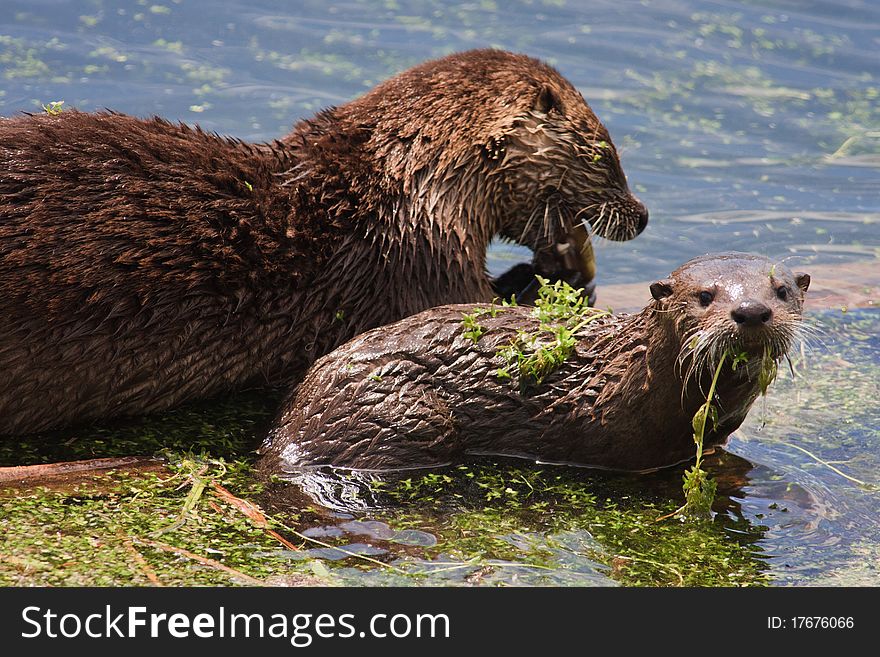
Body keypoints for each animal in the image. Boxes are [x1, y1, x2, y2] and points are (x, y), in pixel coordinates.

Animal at [0, 48, 648, 434]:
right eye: (608, 154)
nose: (641, 215)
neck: (408, 192)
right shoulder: (426, 273)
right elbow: (489, 312)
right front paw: (568, 265)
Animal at [258, 251, 808, 472]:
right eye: (704, 295)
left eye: (781, 291)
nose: (751, 310)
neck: (625, 378)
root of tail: (288, 423)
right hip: (404, 416)